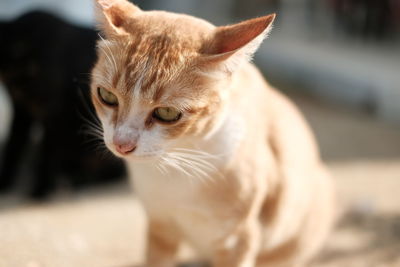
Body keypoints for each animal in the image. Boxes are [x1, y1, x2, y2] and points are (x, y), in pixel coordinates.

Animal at [0, 11, 126, 199]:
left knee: (110, 173)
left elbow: (47, 154)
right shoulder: (21, 111)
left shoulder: (53, 113)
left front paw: (40, 191)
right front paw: (4, 184)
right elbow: (13, 146)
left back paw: (74, 182)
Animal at [90, 1, 334, 266]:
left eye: (167, 113)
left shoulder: (238, 239)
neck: (178, 164)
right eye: (107, 96)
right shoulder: (160, 227)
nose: (121, 143)